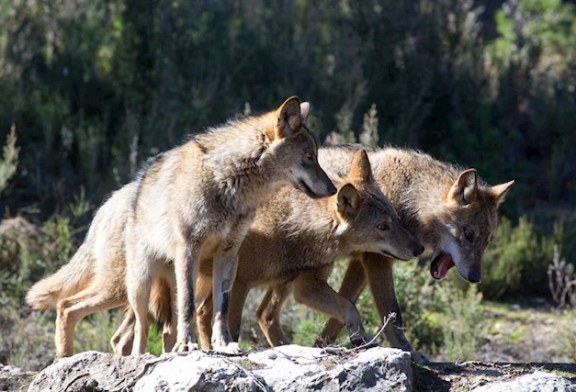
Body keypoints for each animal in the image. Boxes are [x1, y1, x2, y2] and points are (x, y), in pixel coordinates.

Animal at [24, 96, 336, 356]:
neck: (228, 183)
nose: (334, 189)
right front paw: (188, 346)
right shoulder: (189, 249)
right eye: (309, 157)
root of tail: (108, 203)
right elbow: (188, 306)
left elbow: (221, 308)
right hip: (133, 286)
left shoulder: (229, 255)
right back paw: (86, 359)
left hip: (154, 286)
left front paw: (224, 345)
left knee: (144, 330)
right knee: (82, 312)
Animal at [111, 149, 424, 354]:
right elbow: (234, 327)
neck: (291, 226)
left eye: (396, 219)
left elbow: (347, 306)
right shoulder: (242, 285)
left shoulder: (303, 285)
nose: (419, 248)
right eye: (382, 226)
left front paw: (358, 338)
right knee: (132, 333)